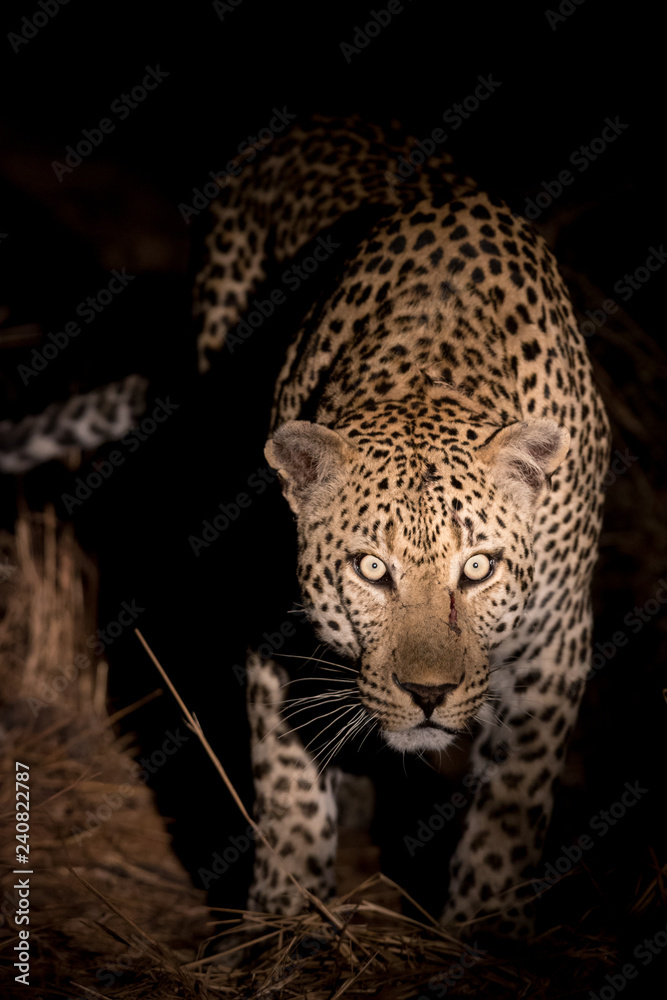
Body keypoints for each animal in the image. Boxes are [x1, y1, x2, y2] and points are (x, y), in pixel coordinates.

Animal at [192, 117, 612, 936]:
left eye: (477, 568)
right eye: (371, 570)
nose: (426, 694)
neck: (429, 369)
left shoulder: (556, 642)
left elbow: (512, 802)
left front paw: (486, 928)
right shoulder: (272, 629)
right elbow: (287, 784)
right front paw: (285, 920)